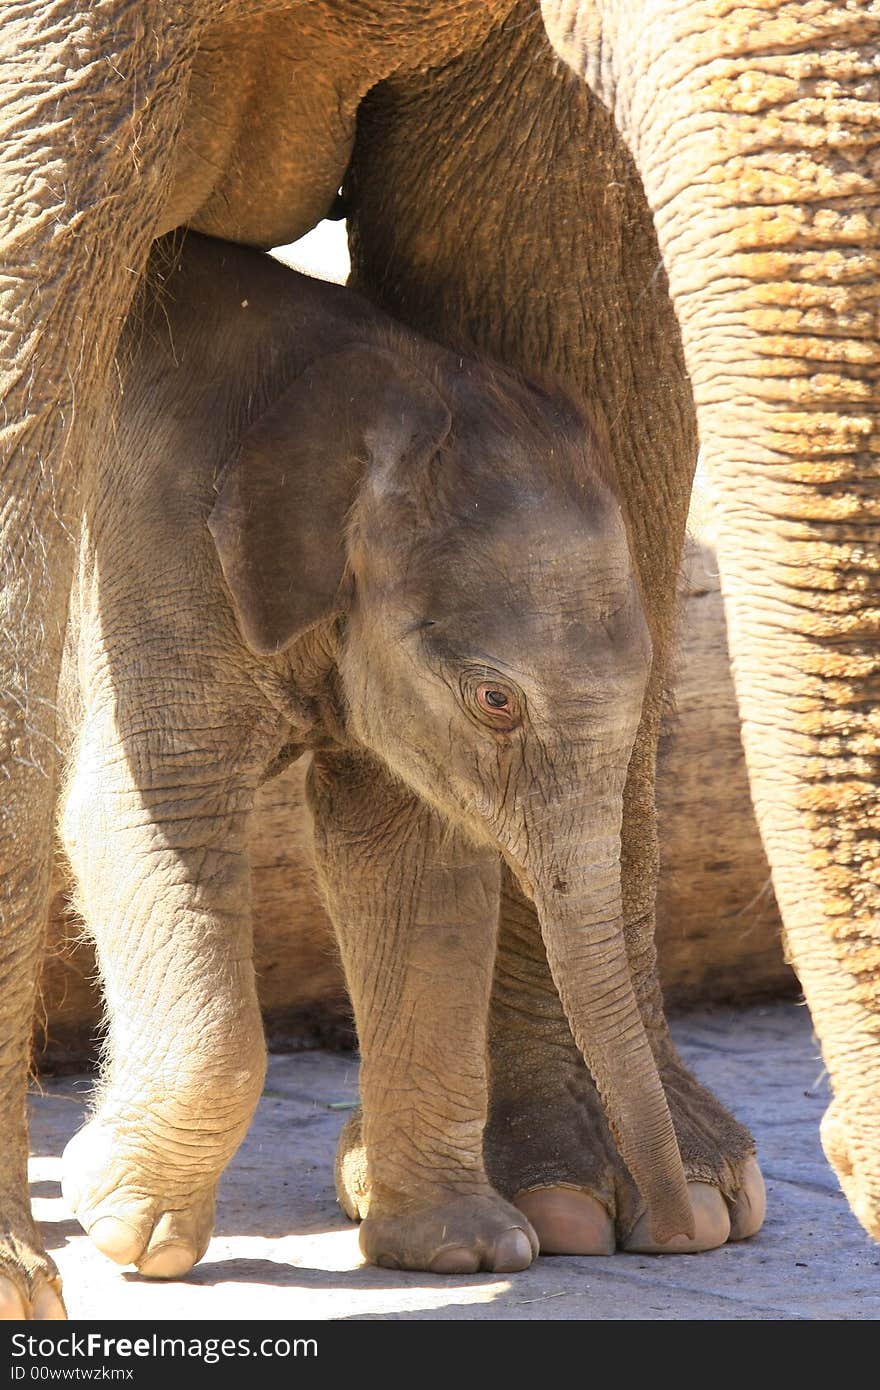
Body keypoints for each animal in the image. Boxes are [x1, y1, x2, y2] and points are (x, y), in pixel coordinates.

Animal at [60, 230, 692, 1278]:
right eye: (496, 701)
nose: (677, 1238)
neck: (388, 376)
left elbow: (415, 872)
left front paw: (467, 1251)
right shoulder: (147, 553)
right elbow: (150, 816)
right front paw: (123, 1229)